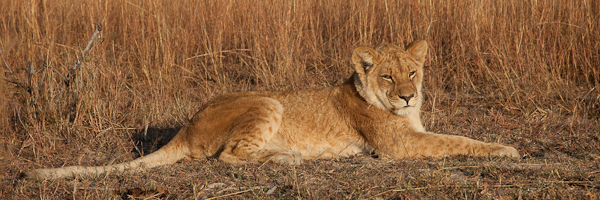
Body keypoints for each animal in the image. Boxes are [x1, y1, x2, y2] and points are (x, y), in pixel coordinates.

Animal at [25, 40, 516, 180]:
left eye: (413, 72)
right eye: (388, 78)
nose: (408, 96)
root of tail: (186, 126)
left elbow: (451, 136)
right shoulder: (398, 144)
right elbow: (457, 140)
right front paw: (507, 150)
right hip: (266, 100)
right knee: (229, 157)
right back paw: (291, 157)